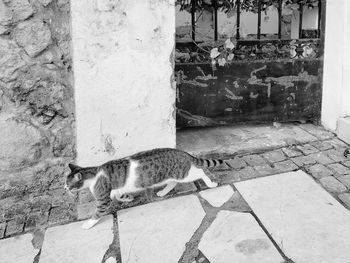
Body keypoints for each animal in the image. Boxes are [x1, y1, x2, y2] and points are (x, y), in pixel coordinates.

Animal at [64, 147, 226, 230]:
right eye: (65, 182)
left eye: (69, 184)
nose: (64, 188)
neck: (93, 173)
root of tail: (182, 152)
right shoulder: (116, 189)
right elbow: (118, 195)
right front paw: (127, 198)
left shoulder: (103, 199)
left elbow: (98, 212)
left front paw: (88, 224)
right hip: (172, 175)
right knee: (173, 182)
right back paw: (163, 192)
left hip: (183, 174)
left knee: (200, 171)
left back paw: (211, 184)